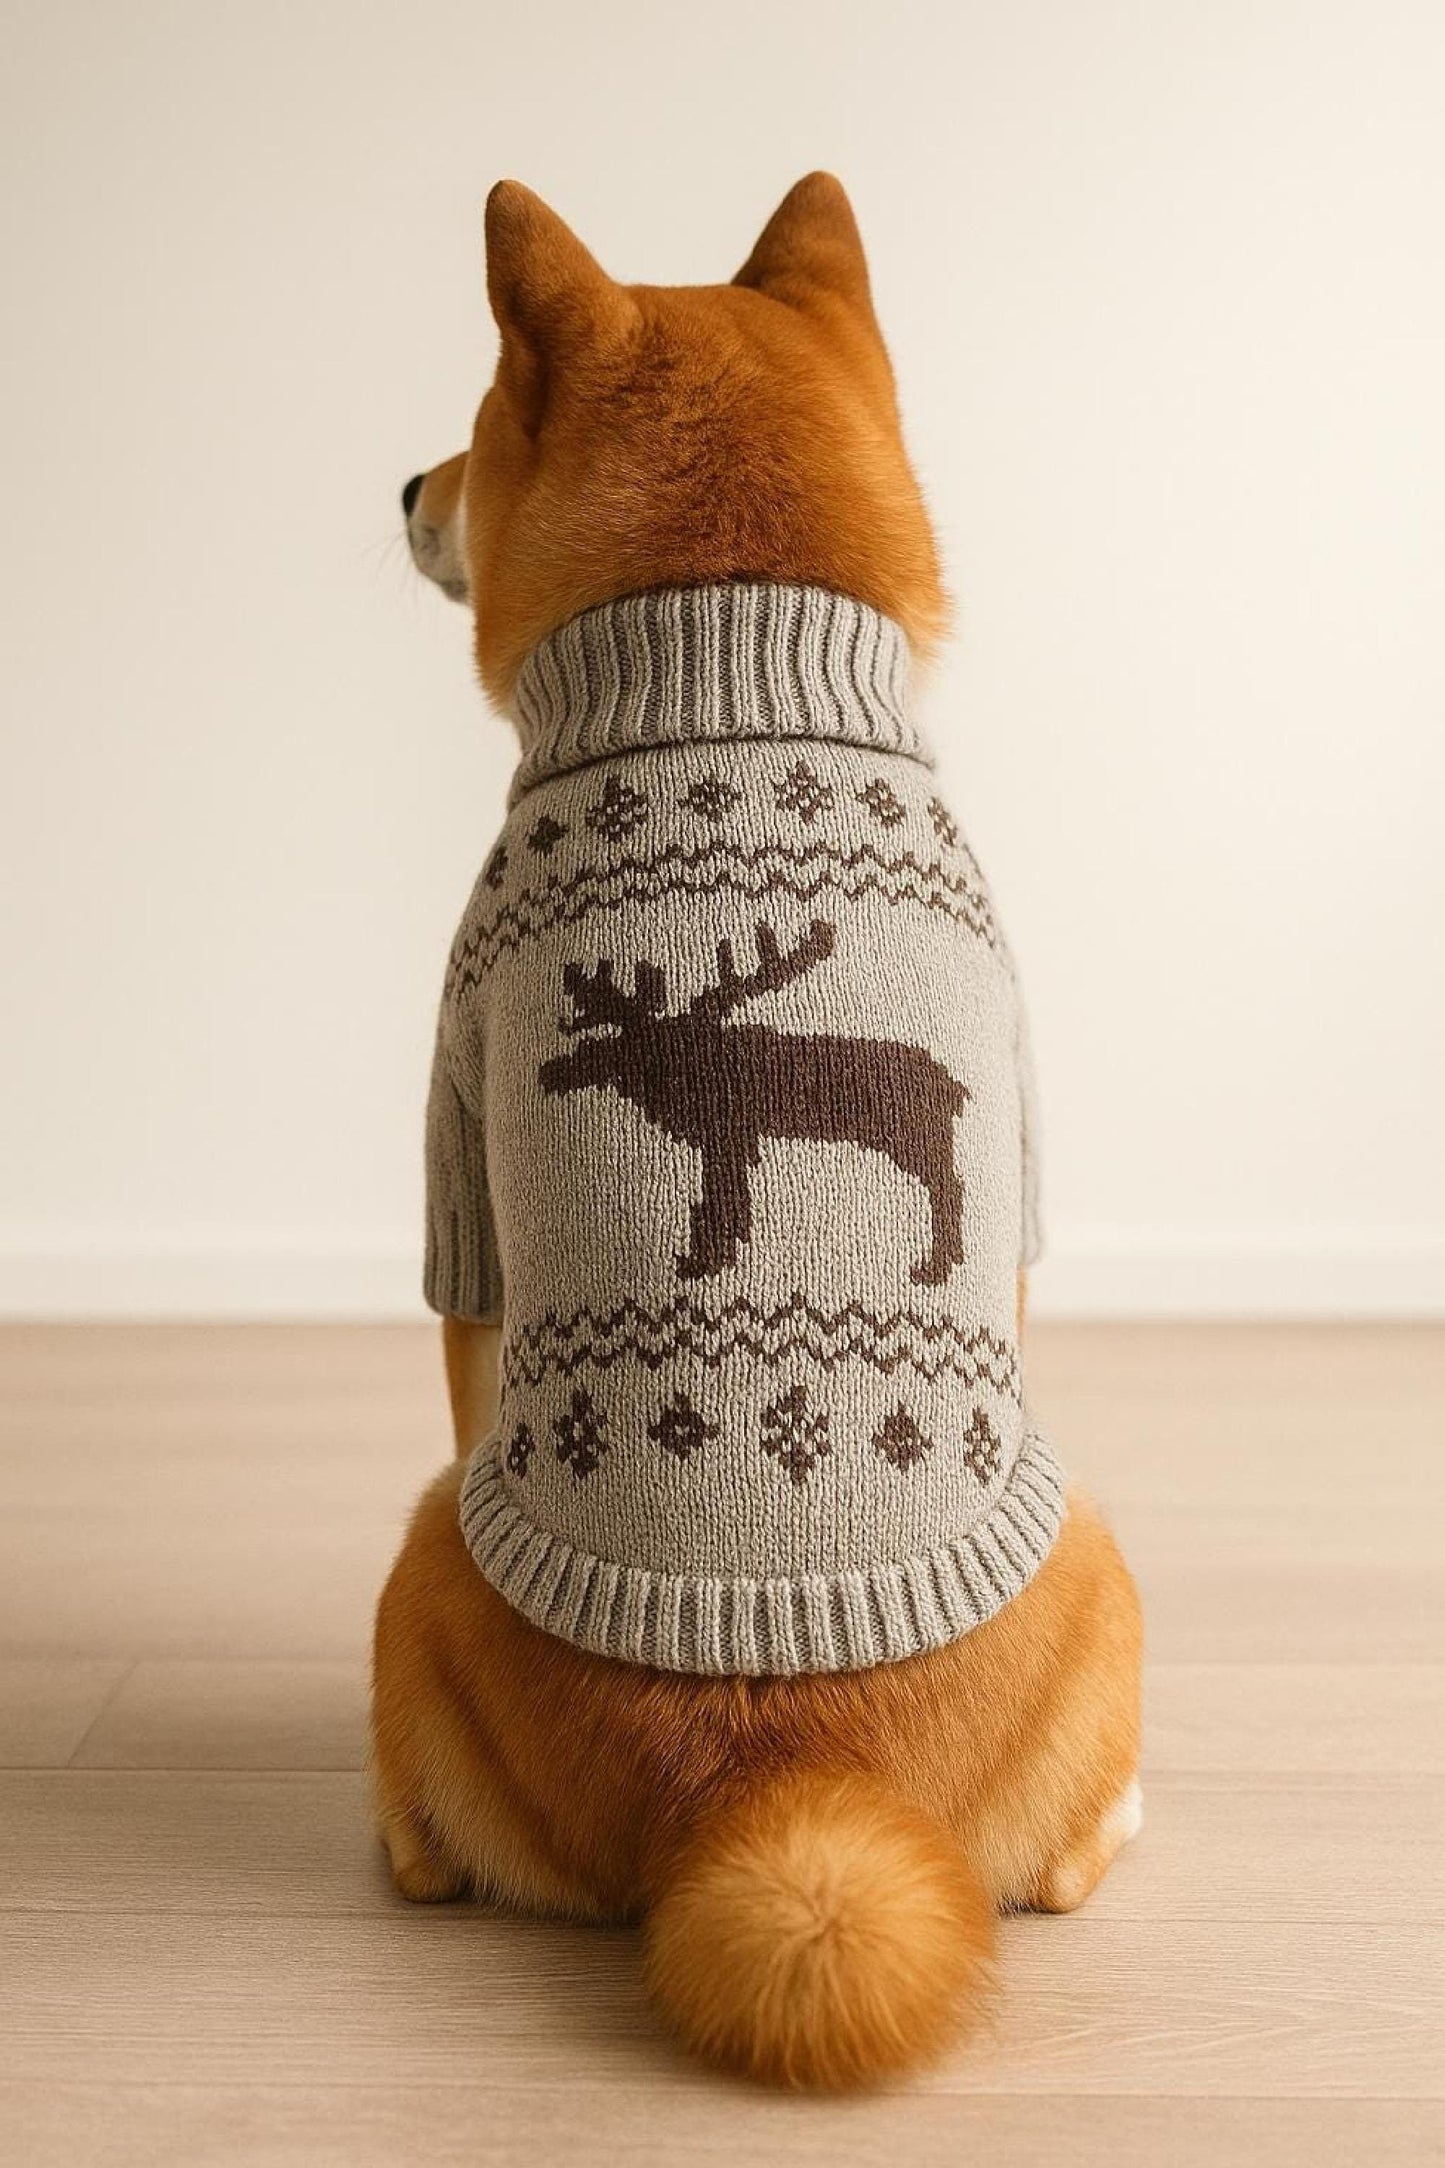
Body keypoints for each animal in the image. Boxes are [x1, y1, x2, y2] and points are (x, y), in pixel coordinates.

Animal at [537, 919, 970, 1285]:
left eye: (608, 1047)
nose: (551, 1072)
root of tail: (953, 1087)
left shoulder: (726, 1134)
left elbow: (720, 1197)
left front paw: (704, 1261)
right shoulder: (733, 1139)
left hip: (917, 1140)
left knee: (948, 1187)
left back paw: (933, 1268)